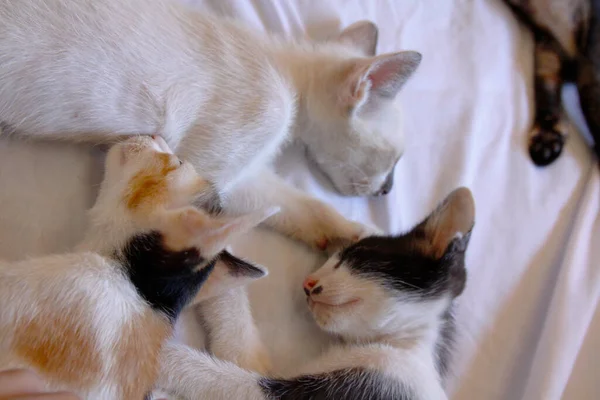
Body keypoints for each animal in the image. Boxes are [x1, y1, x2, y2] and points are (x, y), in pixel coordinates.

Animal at [0, 0, 422, 250]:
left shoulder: (243, 179)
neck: (285, 73)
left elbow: (308, 208)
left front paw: (366, 238)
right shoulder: (209, 166)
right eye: (394, 160)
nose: (388, 190)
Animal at [157, 188, 476, 400]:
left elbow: (226, 379)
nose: (308, 283)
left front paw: (162, 354)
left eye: (352, 257)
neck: (400, 345)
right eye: (329, 260)